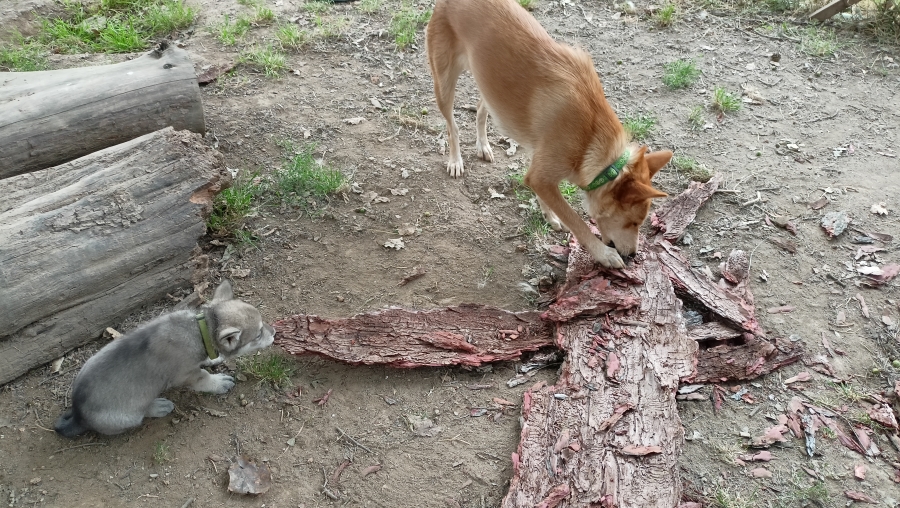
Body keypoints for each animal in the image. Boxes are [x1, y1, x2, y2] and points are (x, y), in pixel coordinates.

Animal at [54, 280, 275, 437]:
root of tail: (78, 416)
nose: (274, 332)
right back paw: (159, 406)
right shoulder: (188, 375)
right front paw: (218, 382)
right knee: (142, 414)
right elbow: (204, 377)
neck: (199, 329)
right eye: (258, 335)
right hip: (131, 415)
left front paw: (214, 360)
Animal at [426, 0, 671, 268]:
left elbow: (548, 196)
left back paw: (483, 145)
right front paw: (602, 254)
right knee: (452, 126)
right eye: (633, 222)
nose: (634, 256)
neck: (591, 135)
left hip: (489, 85)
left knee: (481, 109)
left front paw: (549, 215)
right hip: (444, 82)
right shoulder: (542, 175)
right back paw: (455, 160)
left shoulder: (540, 170)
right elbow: (576, 220)